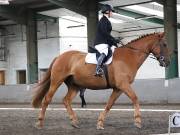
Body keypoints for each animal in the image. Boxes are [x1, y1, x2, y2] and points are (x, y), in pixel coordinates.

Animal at [31, 32, 171, 130]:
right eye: (164, 44)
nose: (167, 62)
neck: (129, 56)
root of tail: (59, 56)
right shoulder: (123, 85)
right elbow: (135, 98)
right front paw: (137, 122)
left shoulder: (118, 88)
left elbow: (109, 104)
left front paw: (100, 123)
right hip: (57, 81)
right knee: (47, 99)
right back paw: (39, 123)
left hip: (75, 85)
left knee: (66, 100)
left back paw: (74, 122)